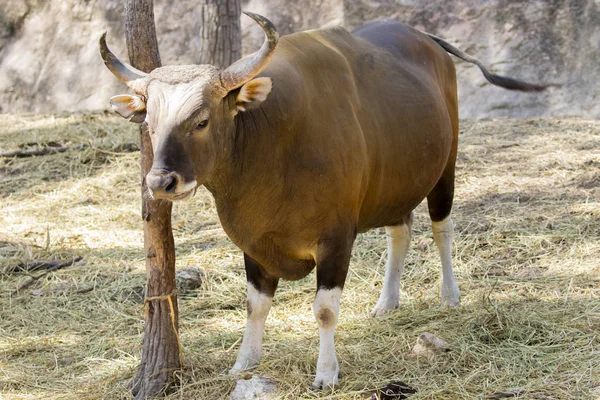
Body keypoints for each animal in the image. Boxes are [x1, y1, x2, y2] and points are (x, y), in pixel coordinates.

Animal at [99, 11, 552, 388]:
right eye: (149, 123)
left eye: (201, 121)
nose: (161, 181)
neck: (269, 143)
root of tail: (427, 40)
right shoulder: (255, 244)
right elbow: (254, 306)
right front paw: (245, 362)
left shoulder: (335, 240)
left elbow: (325, 310)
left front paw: (327, 372)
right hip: (394, 182)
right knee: (400, 232)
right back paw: (387, 302)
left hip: (446, 167)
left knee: (443, 228)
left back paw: (450, 295)